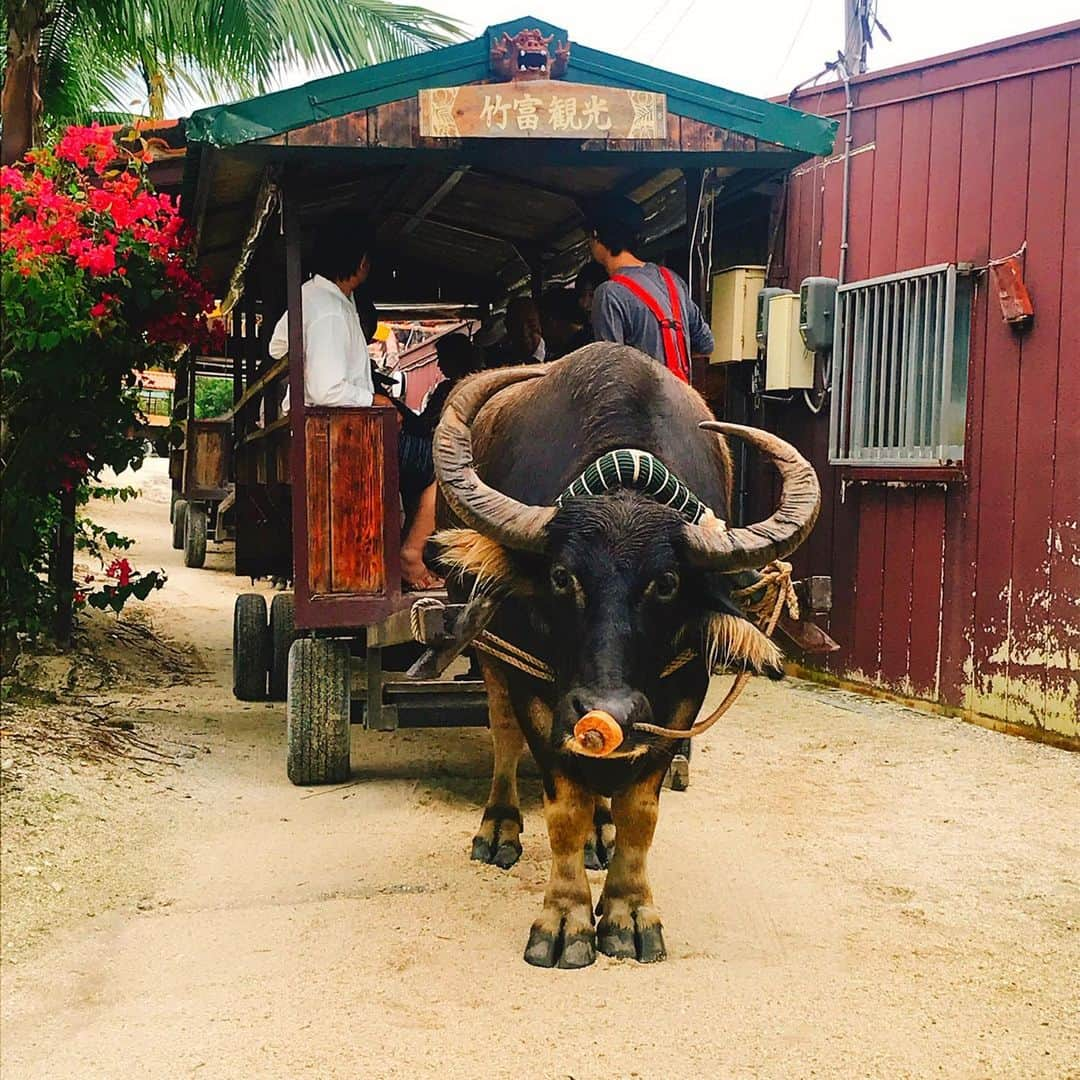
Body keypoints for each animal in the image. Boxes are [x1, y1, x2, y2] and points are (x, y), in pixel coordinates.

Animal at [429, 341, 816, 967]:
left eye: (667, 583)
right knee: (504, 732)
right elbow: (563, 801)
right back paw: (500, 827)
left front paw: (629, 913)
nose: (606, 711)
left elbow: (640, 808)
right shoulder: (539, 688)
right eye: (562, 577)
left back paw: (599, 834)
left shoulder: (681, 692)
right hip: (489, 650)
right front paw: (564, 921)